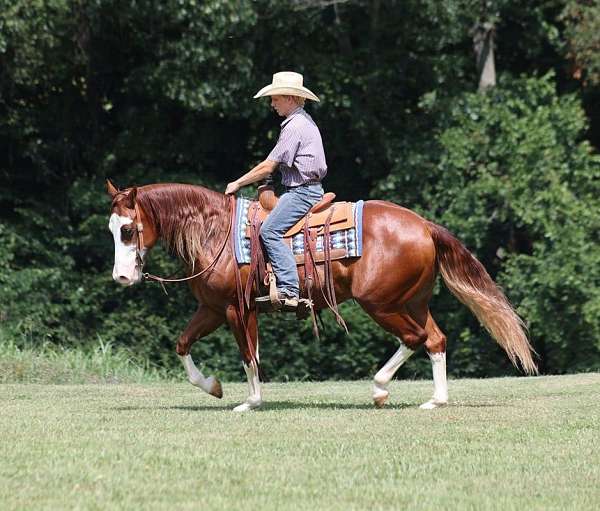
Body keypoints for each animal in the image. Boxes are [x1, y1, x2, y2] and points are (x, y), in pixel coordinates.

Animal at [105, 180, 536, 412]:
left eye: (127, 229)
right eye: (111, 229)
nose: (122, 276)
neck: (217, 233)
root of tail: (424, 226)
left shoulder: (236, 309)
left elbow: (249, 356)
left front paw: (251, 402)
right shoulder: (211, 308)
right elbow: (182, 344)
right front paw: (213, 386)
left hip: (379, 303)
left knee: (414, 338)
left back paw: (380, 389)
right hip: (413, 302)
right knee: (435, 340)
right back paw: (436, 400)